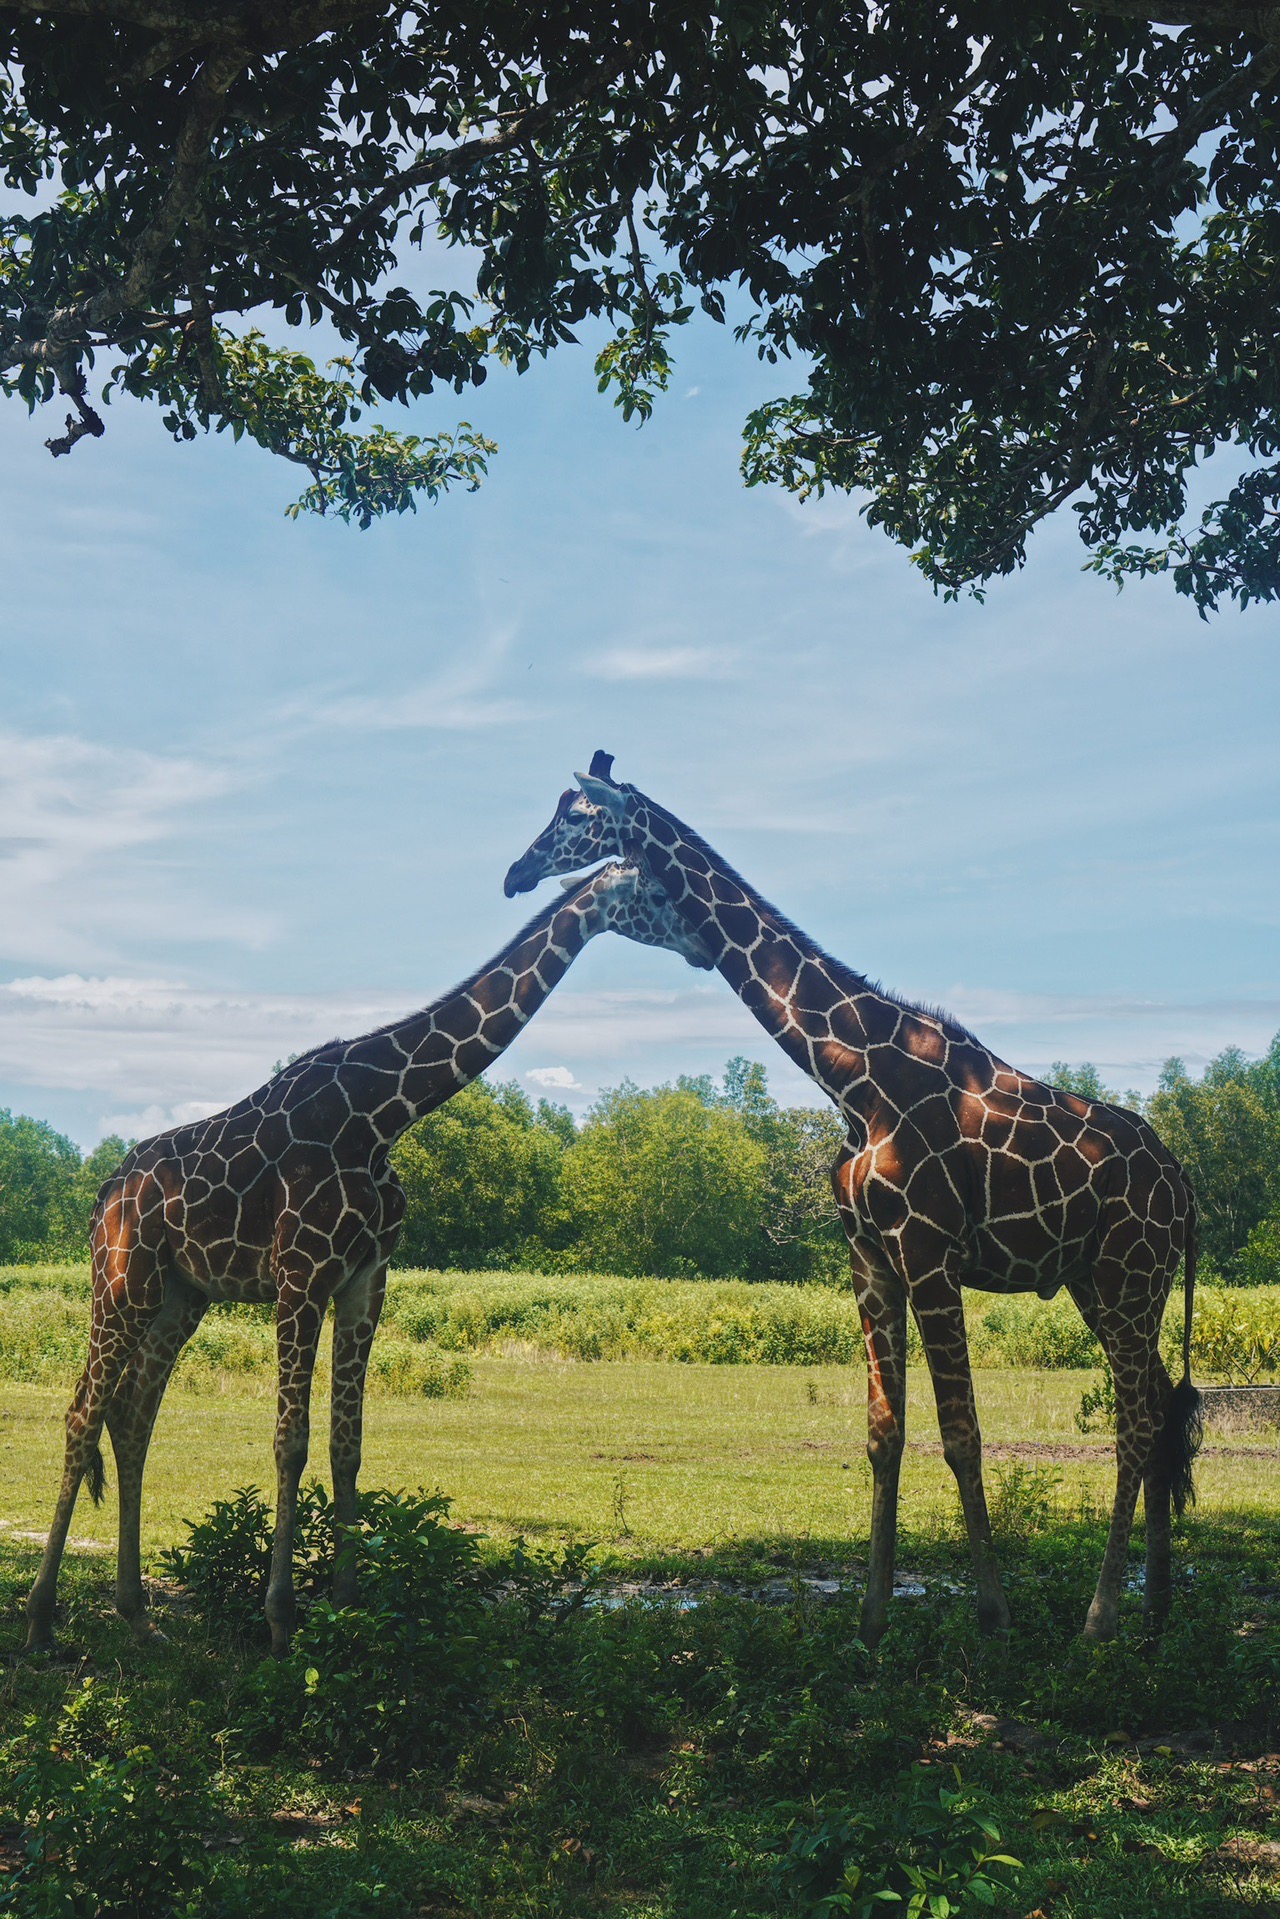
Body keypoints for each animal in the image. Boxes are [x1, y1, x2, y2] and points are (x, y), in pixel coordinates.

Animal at [27, 863, 710, 1658]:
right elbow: (290, 1444)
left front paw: (349, 1608)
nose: (705, 943)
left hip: (181, 1296)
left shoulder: (363, 1279)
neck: (385, 1111)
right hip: (123, 1280)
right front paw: (281, 1621)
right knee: (83, 1413)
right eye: (658, 892)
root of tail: (105, 1191)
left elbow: (346, 1446)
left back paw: (138, 1614)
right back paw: (41, 1619)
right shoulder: (300, 1275)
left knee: (133, 1415)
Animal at [506, 756, 1205, 1642]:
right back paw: (1155, 1609)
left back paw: (1100, 1617)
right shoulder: (870, 1255)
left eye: (579, 816)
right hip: (1105, 1281)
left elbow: (961, 1433)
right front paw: (871, 1621)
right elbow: (883, 1434)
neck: (850, 1076)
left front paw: (992, 1614)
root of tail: (1184, 1187)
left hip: (1128, 1275)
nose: (515, 872)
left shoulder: (931, 1251)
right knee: (1158, 1410)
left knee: (1137, 1420)